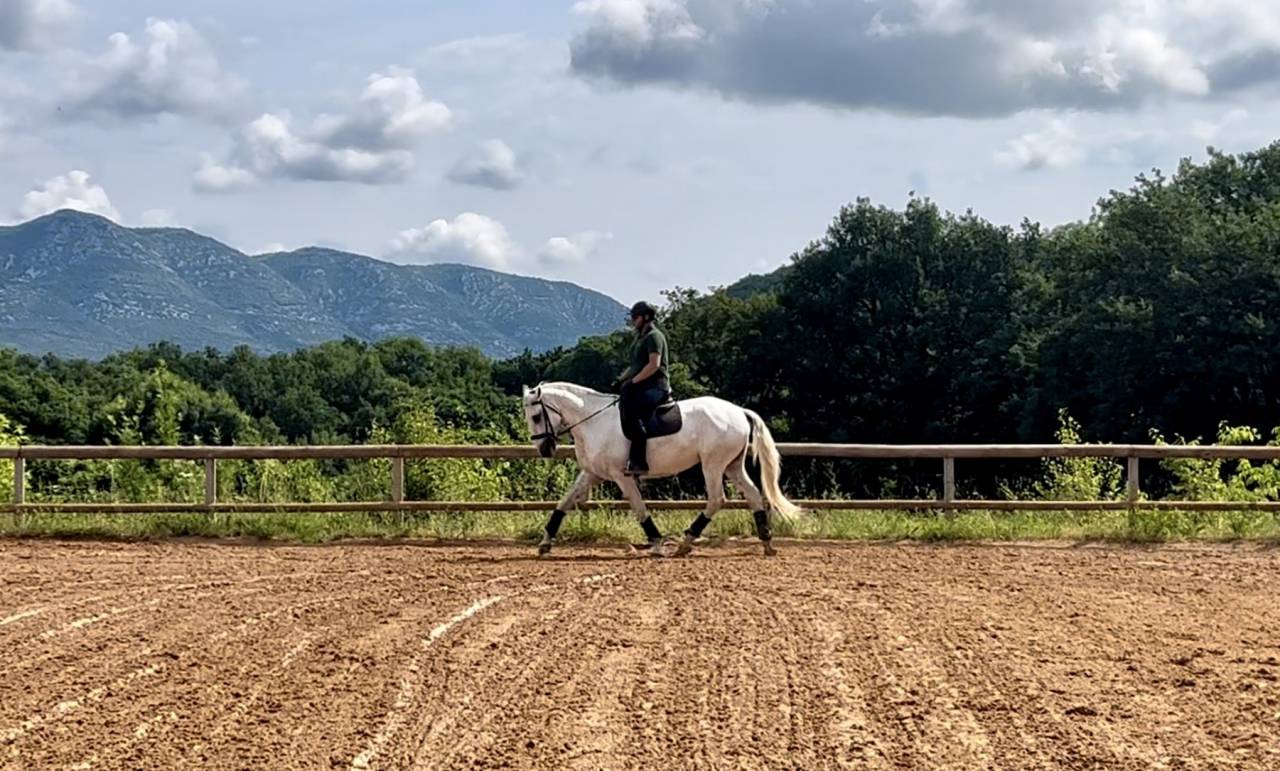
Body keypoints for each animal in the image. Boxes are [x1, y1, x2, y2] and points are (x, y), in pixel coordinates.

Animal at [521, 381, 802, 557]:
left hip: (713, 464)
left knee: (716, 499)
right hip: (732, 465)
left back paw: (686, 542)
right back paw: (766, 542)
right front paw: (545, 543)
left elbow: (638, 507)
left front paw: (656, 543)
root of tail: (739, 411)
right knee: (753, 494)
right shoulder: (592, 473)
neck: (594, 422)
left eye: (536, 416)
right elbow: (564, 502)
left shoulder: (621, 476)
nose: (544, 449)